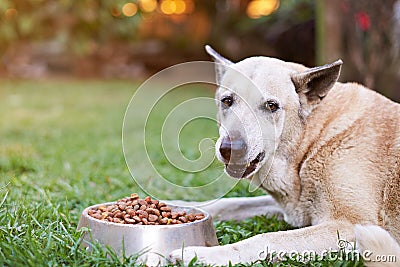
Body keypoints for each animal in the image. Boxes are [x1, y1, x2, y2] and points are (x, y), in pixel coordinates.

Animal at [169, 45, 400, 266]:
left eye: (271, 106)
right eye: (227, 101)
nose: (229, 149)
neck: (313, 140)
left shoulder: (350, 224)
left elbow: (268, 238)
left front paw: (202, 254)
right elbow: (230, 203)